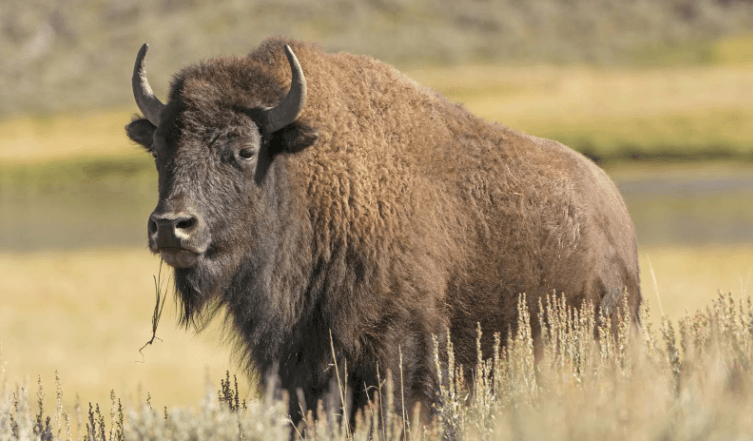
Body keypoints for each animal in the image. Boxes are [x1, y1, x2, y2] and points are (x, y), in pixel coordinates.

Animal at [125, 37, 640, 426]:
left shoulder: (399, 356)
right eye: (159, 148)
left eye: (246, 150)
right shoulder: (297, 367)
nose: (172, 226)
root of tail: (614, 209)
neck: (311, 180)